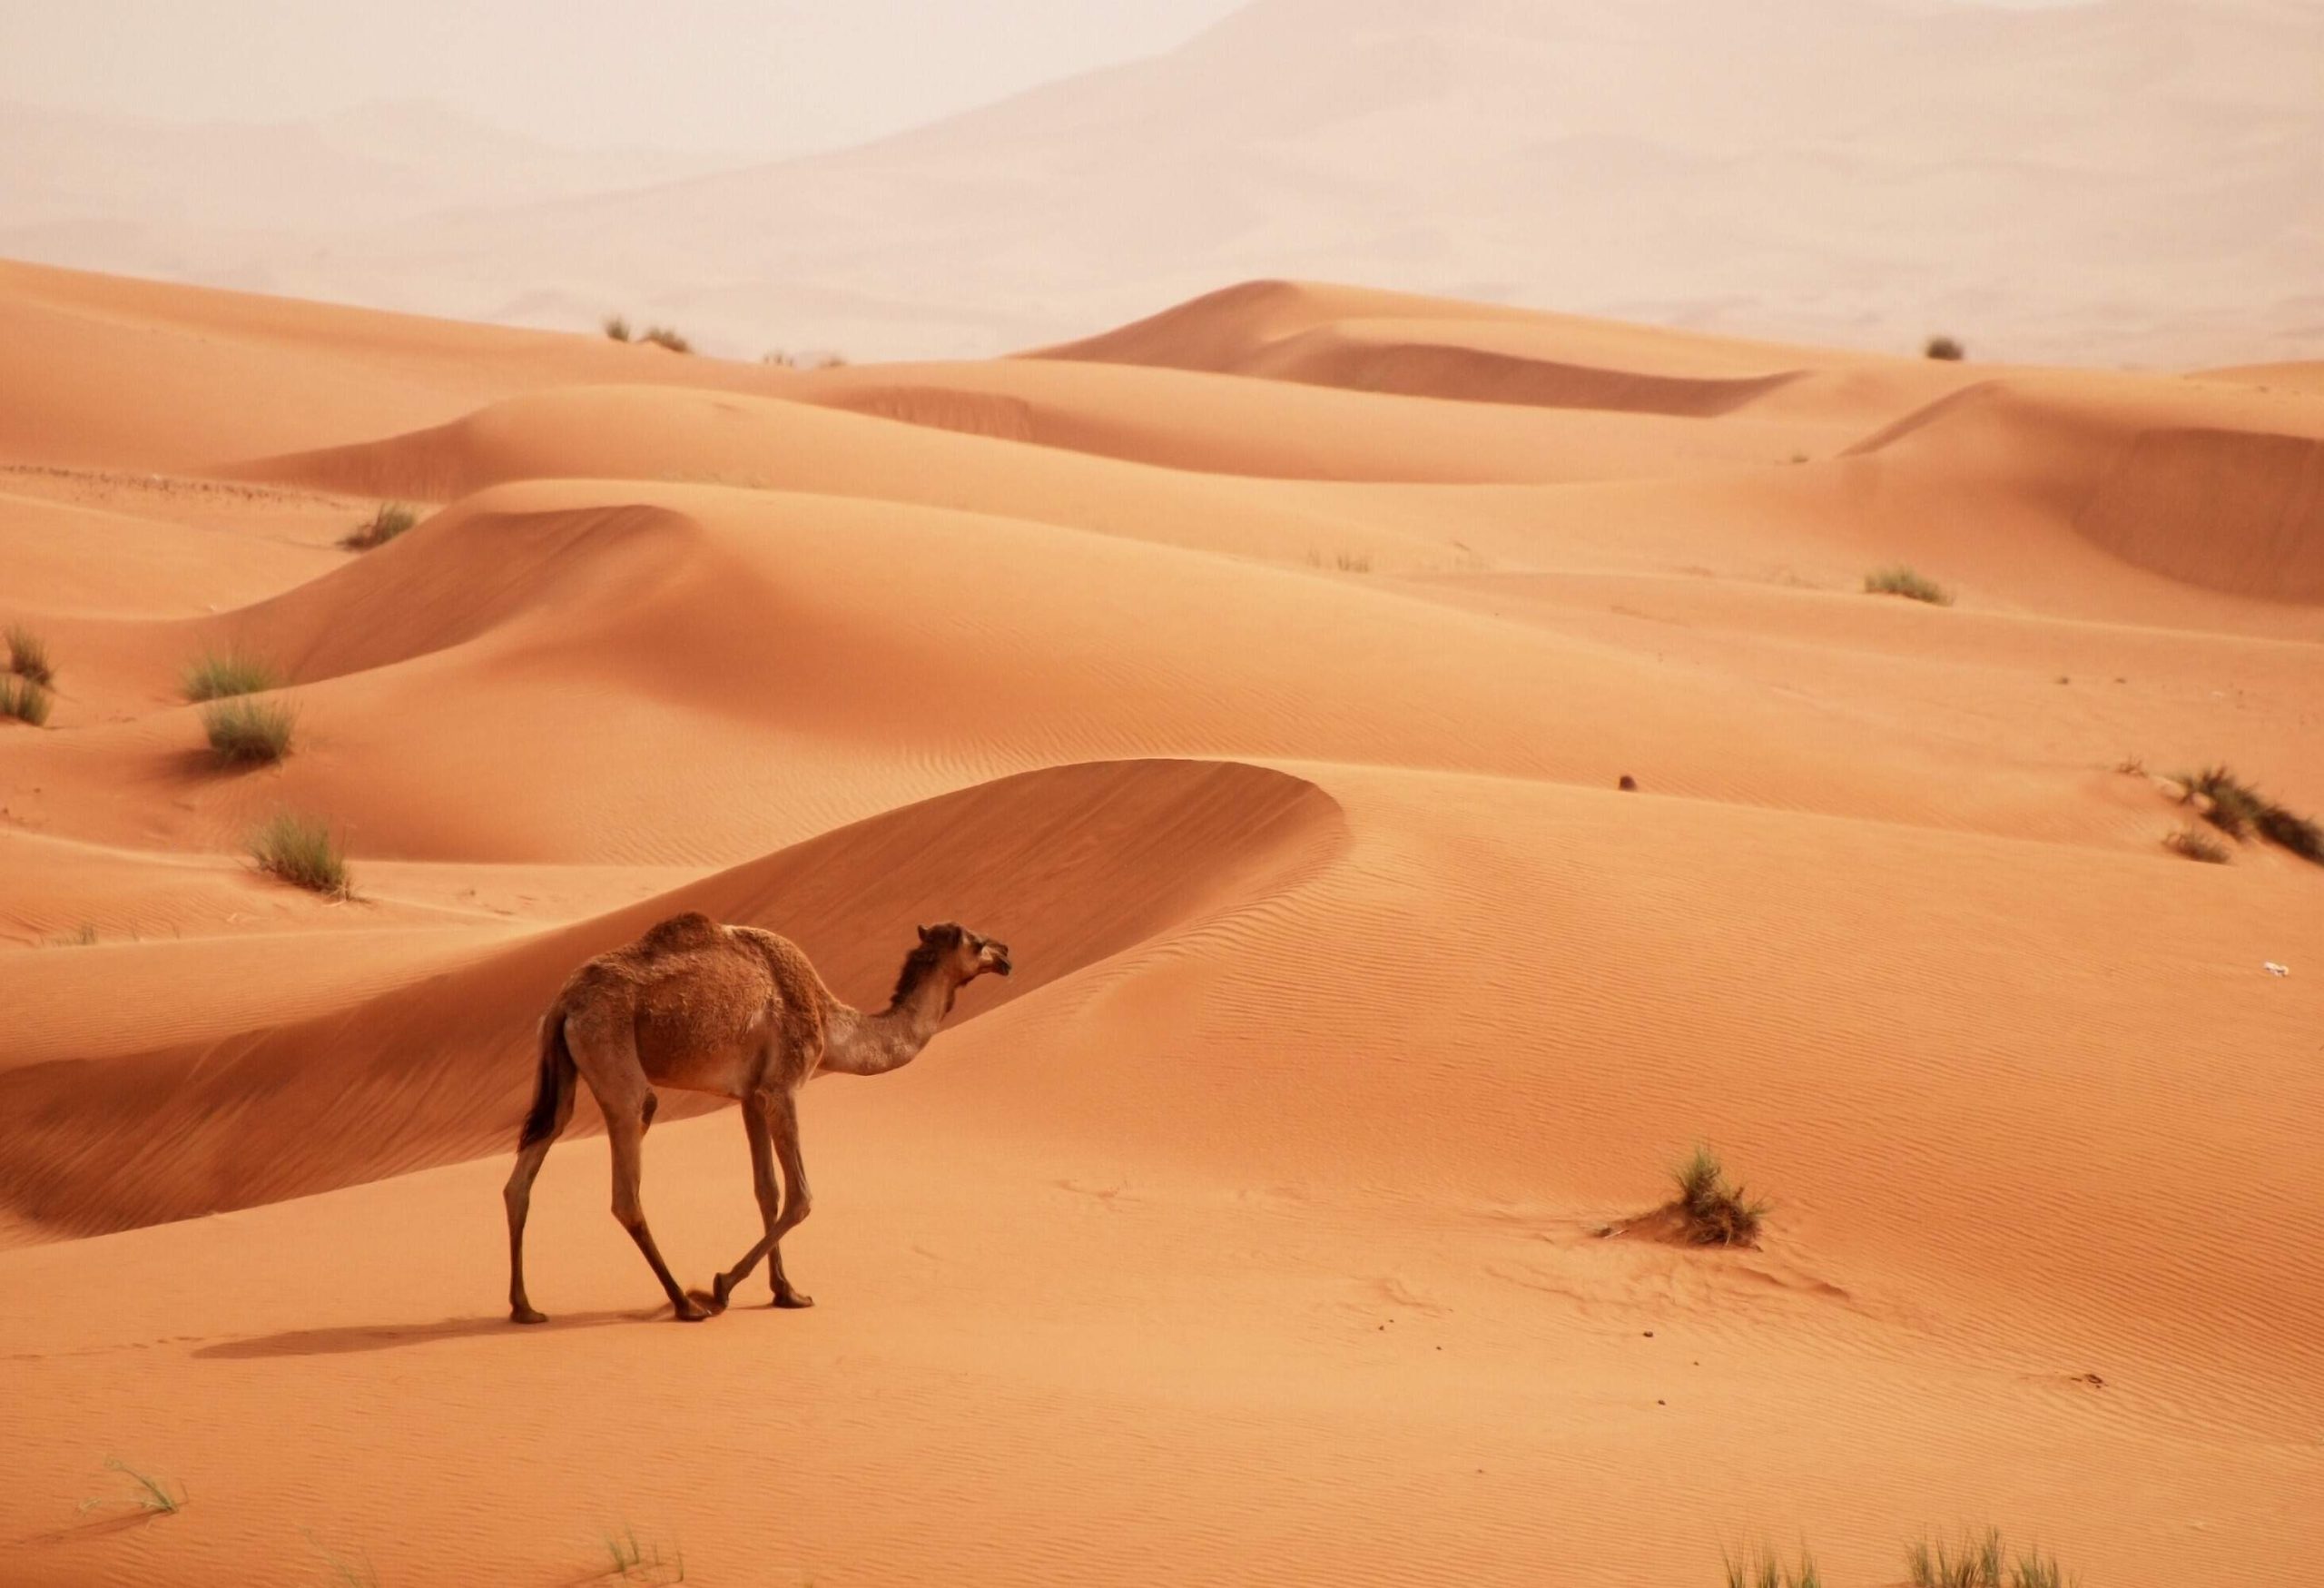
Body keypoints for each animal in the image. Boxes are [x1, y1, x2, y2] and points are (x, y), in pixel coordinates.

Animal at [504, 911, 1013, 1320]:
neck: (829, 1020)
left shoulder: (750, 1096)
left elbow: (766, 1191)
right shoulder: (782, 1087)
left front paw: (787, 1292)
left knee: (526, 1172)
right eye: (974, 941)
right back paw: (686, 1303)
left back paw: (524, 1307)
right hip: (613, 1052)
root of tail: (564, 1002)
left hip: (562, 1067)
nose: (1007, 952)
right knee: (628, 1179)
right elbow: (801, 1196)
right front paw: (722, 1285)